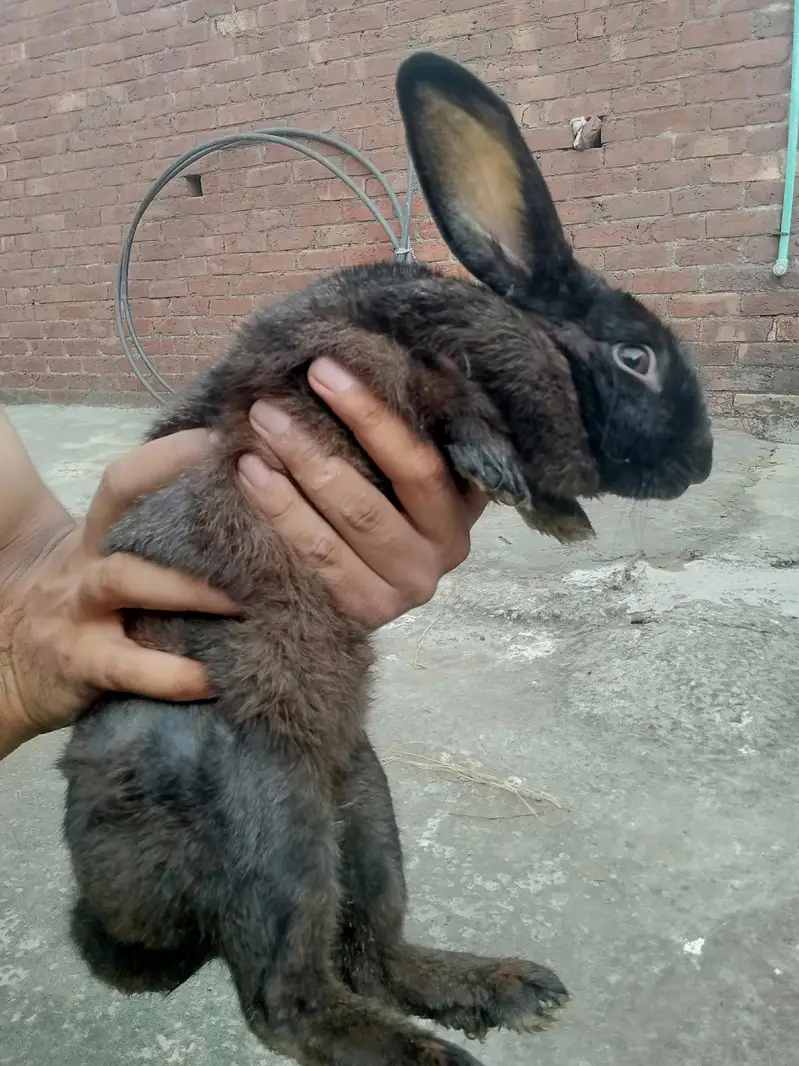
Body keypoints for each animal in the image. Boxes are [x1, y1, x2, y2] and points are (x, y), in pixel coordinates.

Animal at [58, 51, 713, 1066]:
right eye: (634, 356)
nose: (701, 462)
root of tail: (112, 913)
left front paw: (553, 510)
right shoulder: (349, 348)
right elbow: (436, 391)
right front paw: (507, 471)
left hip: (365, 806)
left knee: (373, 952)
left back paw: (506, 989)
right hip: (269, 811)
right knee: (287, 997)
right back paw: (430, 1052)